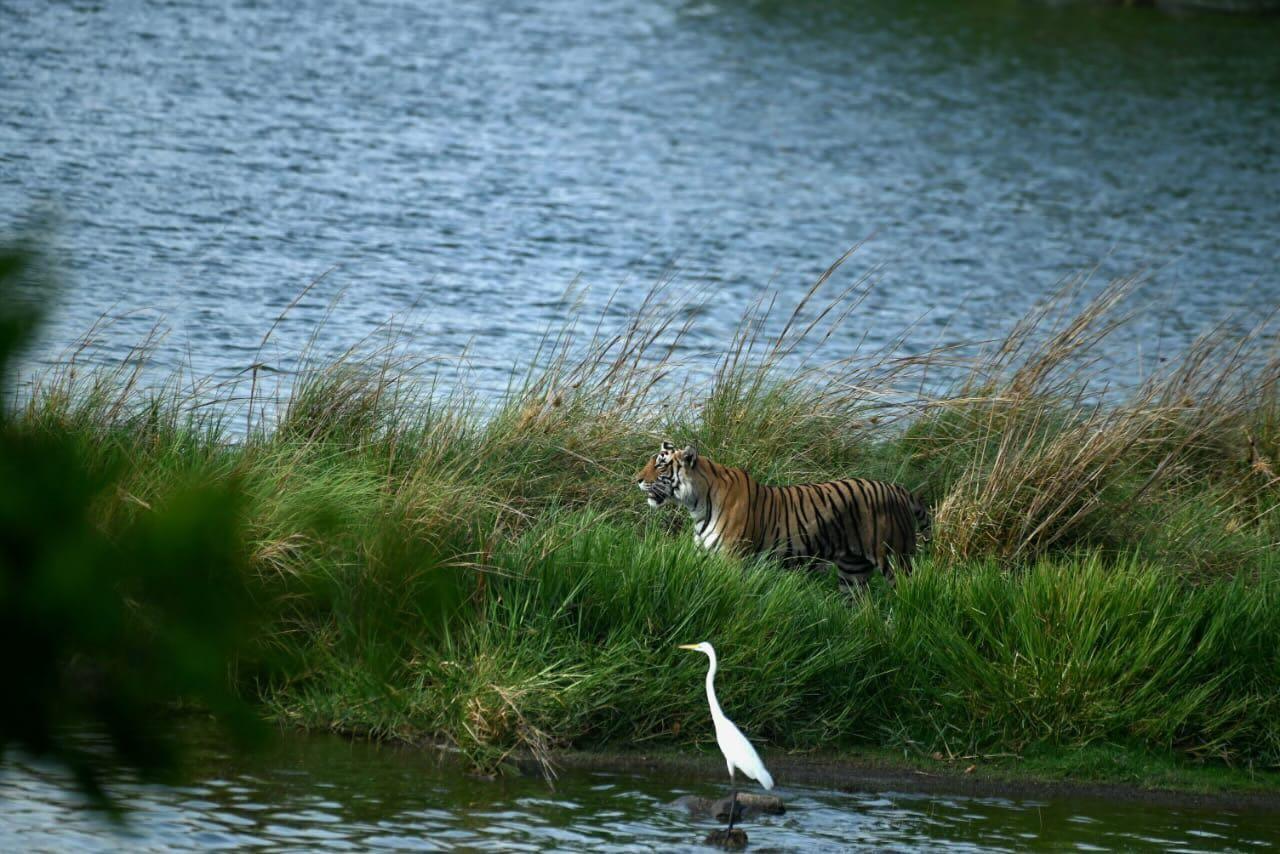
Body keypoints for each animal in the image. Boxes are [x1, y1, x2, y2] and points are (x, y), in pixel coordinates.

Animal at [636, 441, 930, 592]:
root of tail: (899, 489)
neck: (696, 503)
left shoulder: (731, 560)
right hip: (853, 571)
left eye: (660, 465)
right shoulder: (704, 555)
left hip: (896, 561)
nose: (636, 479)